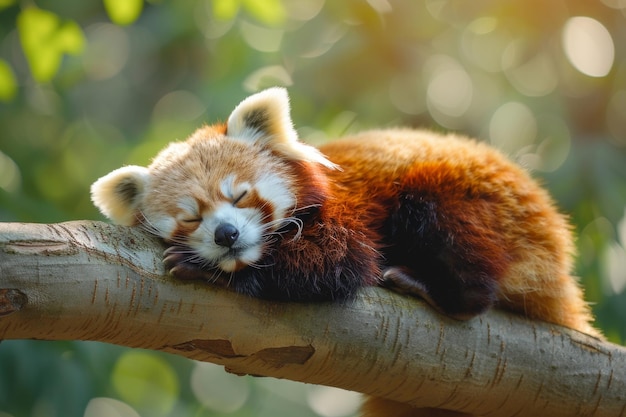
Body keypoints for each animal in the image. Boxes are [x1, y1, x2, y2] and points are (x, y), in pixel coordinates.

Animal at [89, 86, 600, 414]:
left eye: (239, 195)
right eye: (192, 218)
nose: (227, 235)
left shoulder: (347, 210)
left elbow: (337, 262)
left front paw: (209, 271)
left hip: (472, 203)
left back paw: (427, 287)